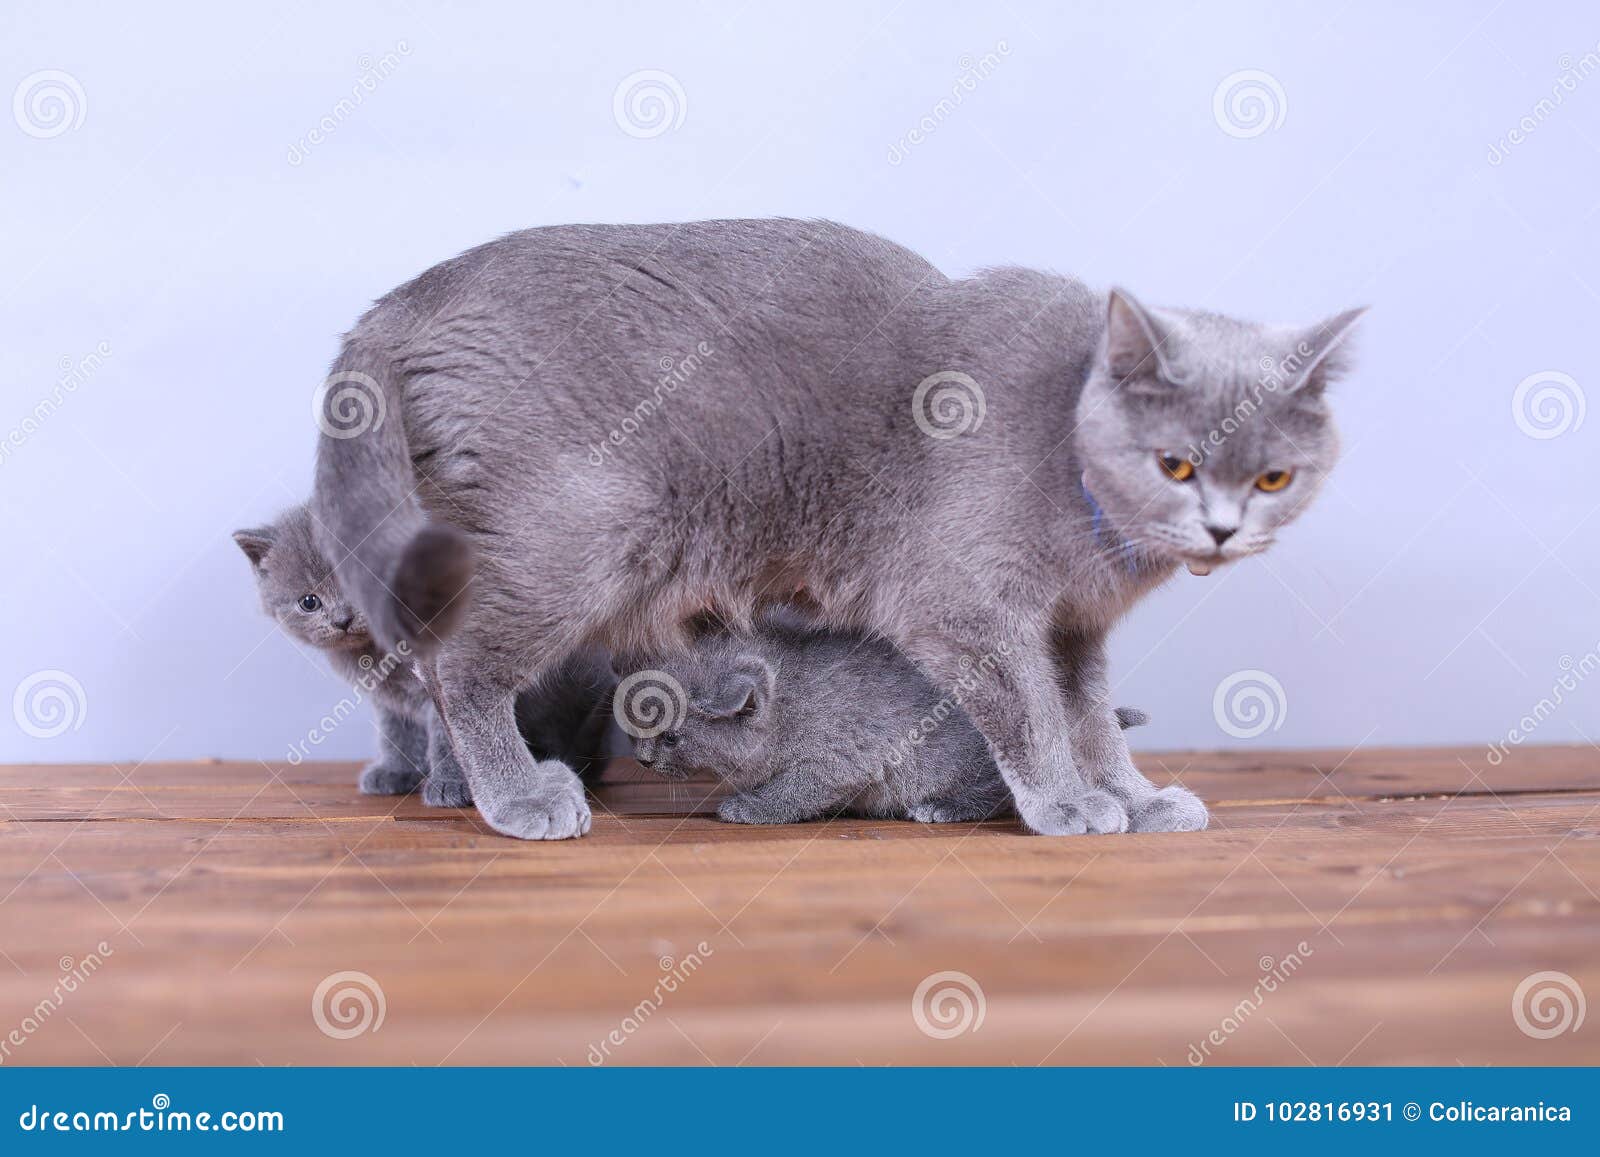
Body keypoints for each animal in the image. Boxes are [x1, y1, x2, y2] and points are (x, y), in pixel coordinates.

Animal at [233, 505, 614, 806]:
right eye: (309, 602)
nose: (342, 620)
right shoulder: (388, 698)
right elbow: (396, 733)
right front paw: (395, 772)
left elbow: (448, 736)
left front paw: (450, 786)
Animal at [624, 611, 1152, 825]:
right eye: (640, 730)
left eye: (670, 738)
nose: (643, 760)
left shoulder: (839, 759)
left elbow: (794, 790)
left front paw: (751, 808)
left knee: (1001, 792)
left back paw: (943, 807)